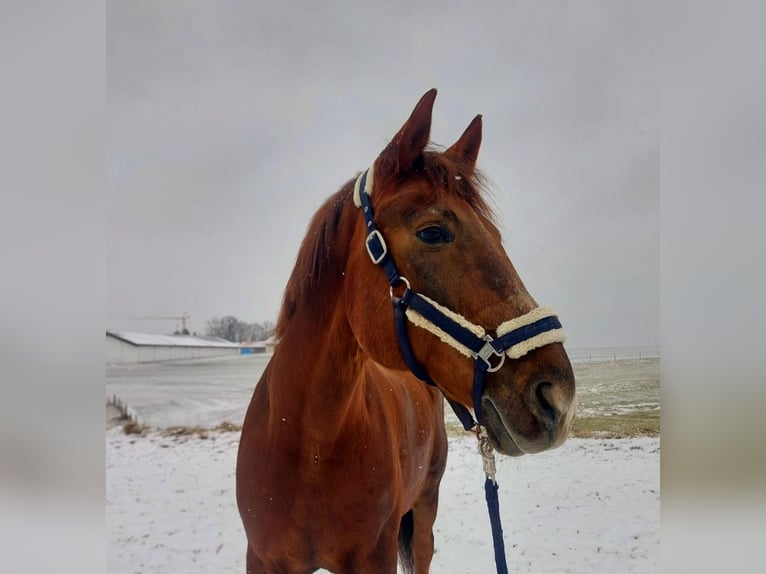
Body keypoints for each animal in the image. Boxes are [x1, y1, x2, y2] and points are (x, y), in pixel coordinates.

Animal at [236, 89, 576, 574]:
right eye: (432, 232)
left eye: (495, 235)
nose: (557, 397)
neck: (309, 445)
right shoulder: (263, 560)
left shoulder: (375, 555)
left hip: (424, 515)